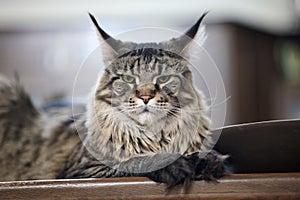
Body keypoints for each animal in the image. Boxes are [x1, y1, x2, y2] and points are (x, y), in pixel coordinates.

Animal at [0, 12, 227, 189]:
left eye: (163, 79)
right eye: (128, 79)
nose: (145, 96)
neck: (154, 137)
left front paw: (208, 161)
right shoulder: (84, 169)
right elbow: (135, 161)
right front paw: (178, 166)